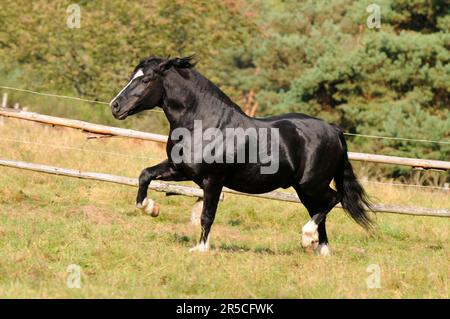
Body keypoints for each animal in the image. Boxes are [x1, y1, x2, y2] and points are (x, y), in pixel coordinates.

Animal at [110, 54, 372, 255]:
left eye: (146, 79)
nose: (115, 106)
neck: (203, 124)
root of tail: (334, 130)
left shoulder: (213, 180)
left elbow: (207, 215)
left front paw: (200, 249)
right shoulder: (179, 169)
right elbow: (145, 175)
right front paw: (150, 208)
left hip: (312, 184)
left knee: (333, 199)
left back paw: (307, 238)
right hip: (303, 188)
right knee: (320, 211)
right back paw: (319, 249)